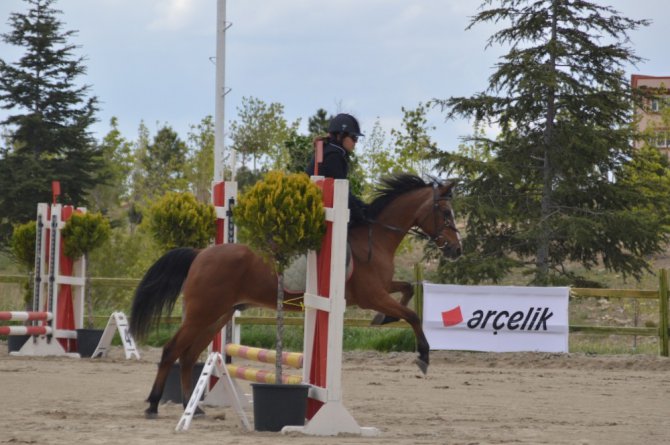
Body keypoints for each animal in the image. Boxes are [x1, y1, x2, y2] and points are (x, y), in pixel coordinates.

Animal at [131, 174, 462, 416]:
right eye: (446, 212)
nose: (457, 250)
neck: (375, 237)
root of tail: (201, 254)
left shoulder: (382, 288)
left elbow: (407, 289)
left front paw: (384, 319)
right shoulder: (372, 295)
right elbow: (413, 315)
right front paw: (423, 356)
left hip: (218, 315)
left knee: (188, 356)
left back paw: (193, 407)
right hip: (204, 313)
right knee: (171, 351)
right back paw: (153, 403)